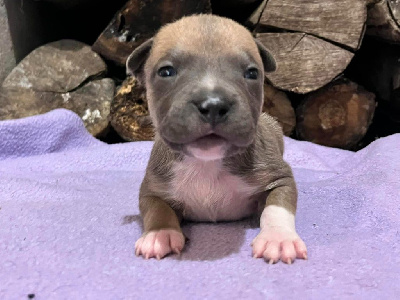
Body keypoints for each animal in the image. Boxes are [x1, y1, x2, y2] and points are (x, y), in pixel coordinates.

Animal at [126, 14, 308, 262]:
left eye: (252, 73)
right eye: (166, 72)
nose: (213, 104)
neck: (206, 161)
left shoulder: (279, 178)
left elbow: (277, 207)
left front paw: (278, 238)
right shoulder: (152, 188)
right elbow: (157, 209)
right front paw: (159, 234)